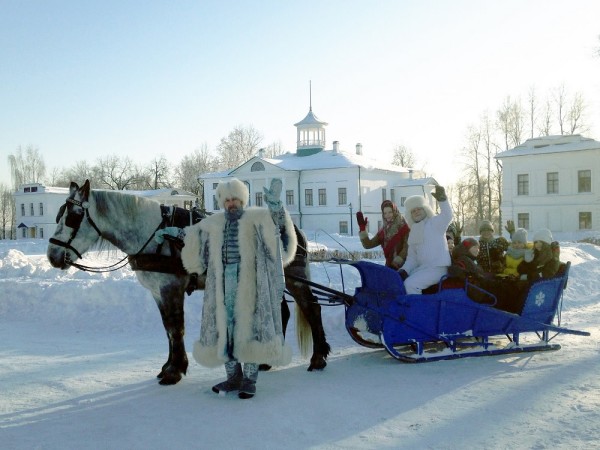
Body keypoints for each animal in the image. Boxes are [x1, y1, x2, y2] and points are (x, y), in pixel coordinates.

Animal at [46, 181, 328, 384]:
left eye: (72, 217)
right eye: (59, 215)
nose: (52, 256)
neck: (154, 236)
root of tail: (292, 226)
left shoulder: (171, 288)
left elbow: (175, 329)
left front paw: (175, 371)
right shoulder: (158, 292)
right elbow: (167, 329)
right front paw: (169, 366)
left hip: (295, 279)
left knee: (311, 308)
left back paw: (318, 358)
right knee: (282, 311)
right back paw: (266, 358)